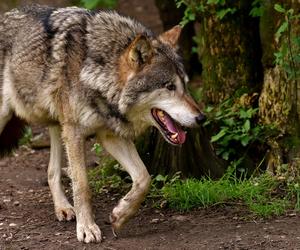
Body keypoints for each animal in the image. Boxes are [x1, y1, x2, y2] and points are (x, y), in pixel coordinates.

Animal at [0, 4, 206, 243]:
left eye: (186, 86)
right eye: (170, 87)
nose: (202, 118)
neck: (96, 72)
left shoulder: (109, 135)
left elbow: (144, 178)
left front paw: (120, 215)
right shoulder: (75, 132)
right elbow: (82, 185)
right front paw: (87, 228)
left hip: (58, 125)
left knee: (52, 172)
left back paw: (63, 208)